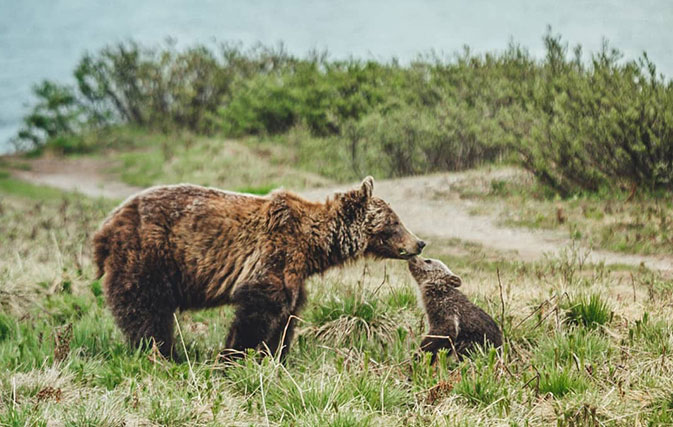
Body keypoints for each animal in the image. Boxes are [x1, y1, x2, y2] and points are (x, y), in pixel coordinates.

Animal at [92, 179, 422, 360]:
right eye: (394, 222)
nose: (419, 242)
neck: (311, 246)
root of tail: (104, 228)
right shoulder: (273, 254)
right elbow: (259, 310)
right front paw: (235, 356)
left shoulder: (295, 273)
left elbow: (288, 316)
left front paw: (276, 356)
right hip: (149, 254)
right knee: (146, 310)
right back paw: (162, 352)